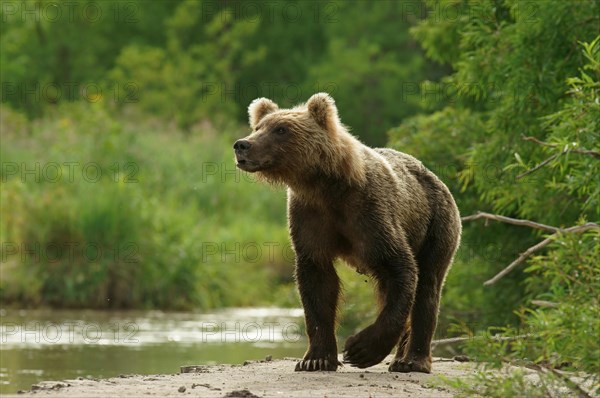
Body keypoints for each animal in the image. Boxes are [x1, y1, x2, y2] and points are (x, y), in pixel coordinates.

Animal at [233, 93, 460, 374]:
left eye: (281, 129)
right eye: (257, 127)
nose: (242, 145)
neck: (324, 186)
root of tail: (437, 178)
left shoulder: (370, 213)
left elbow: (401, 267)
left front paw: (360, 349)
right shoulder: (309, 218)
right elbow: (317, 283)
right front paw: (316, 359)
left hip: (436, 226)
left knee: (427, 285)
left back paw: (412, 360)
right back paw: (400, 358)